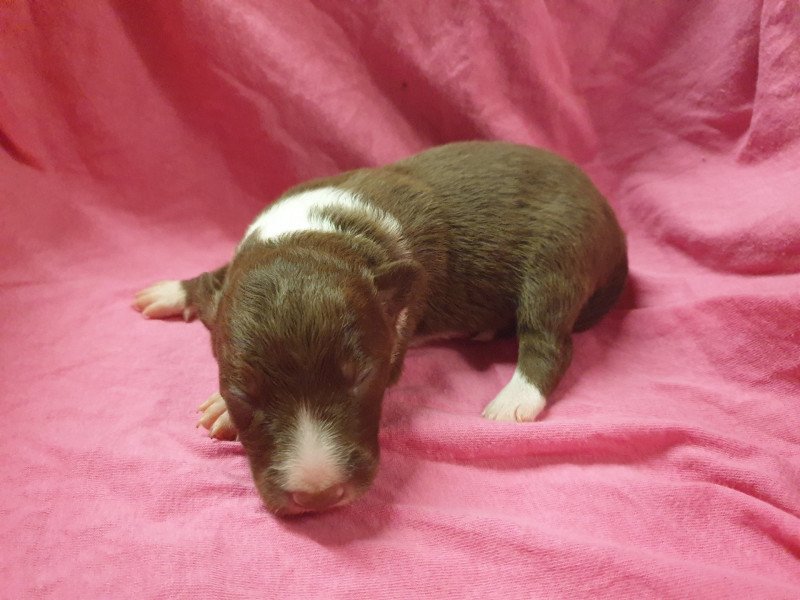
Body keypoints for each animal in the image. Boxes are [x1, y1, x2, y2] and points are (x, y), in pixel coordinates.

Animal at [134, 142, 628, 516]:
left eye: (362, 377)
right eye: (244, 393)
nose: (318, 495)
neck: (319, 231)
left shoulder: (396, 335)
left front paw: (218, 410)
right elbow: (215, 279)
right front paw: (175, 290)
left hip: (559, 254)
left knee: (550, 340)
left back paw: (513, 400)